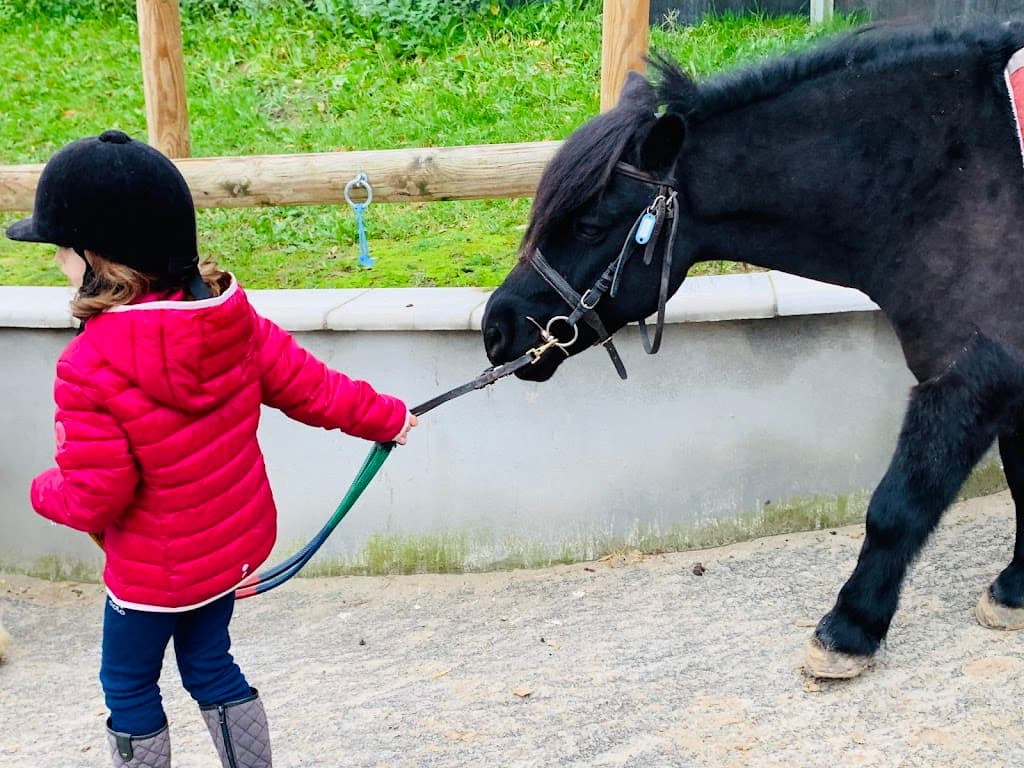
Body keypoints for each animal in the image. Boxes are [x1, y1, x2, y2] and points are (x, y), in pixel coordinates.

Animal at [481, 21, 1024, 678]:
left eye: (589, 225)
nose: (496, 327)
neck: (950, 175)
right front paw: (1017, 588)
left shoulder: (971, 376)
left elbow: (897, 508)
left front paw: (850, 629)